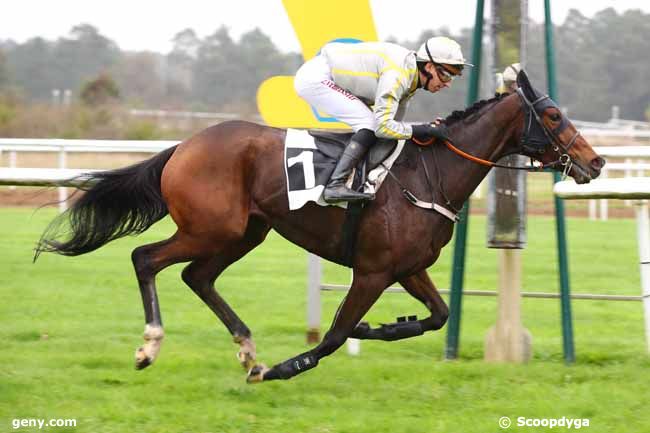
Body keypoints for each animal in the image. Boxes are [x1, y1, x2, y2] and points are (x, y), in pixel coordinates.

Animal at [34, 71, 604, 382]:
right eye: (553, 116)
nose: (595, 163)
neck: (431, 173)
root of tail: (184, 145)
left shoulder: (408, 268)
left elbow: (438, 316)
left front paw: (383, 327)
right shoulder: (372, 272)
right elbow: (333, 336)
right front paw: (284, 368)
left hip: (245, 232)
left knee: (197, 277)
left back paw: (247, 351)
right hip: (210, 229)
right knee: (146, 259)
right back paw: (151, 346)